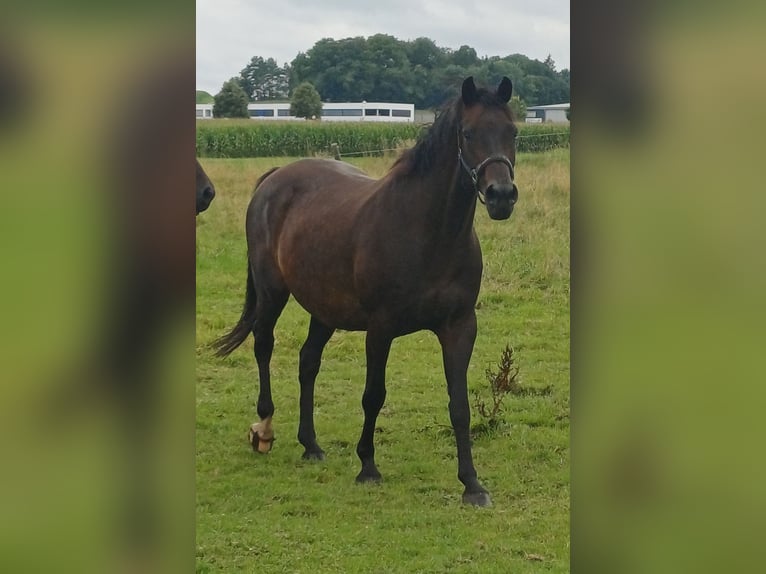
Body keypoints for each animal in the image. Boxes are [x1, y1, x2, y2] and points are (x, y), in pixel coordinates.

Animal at [213, 76, 519, 507]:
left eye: (513, 132)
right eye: (469, 133)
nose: (501, 196)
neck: (429, 234)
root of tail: (273, 178)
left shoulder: (460, 327)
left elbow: (459, 404)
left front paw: (472, 485)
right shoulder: (381, 328)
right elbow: (374, 394)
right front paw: (368, 467)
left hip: (324, 309)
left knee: (308, 362)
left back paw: (311, 445)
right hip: (273, 292)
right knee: (263, 345)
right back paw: (265, 430)